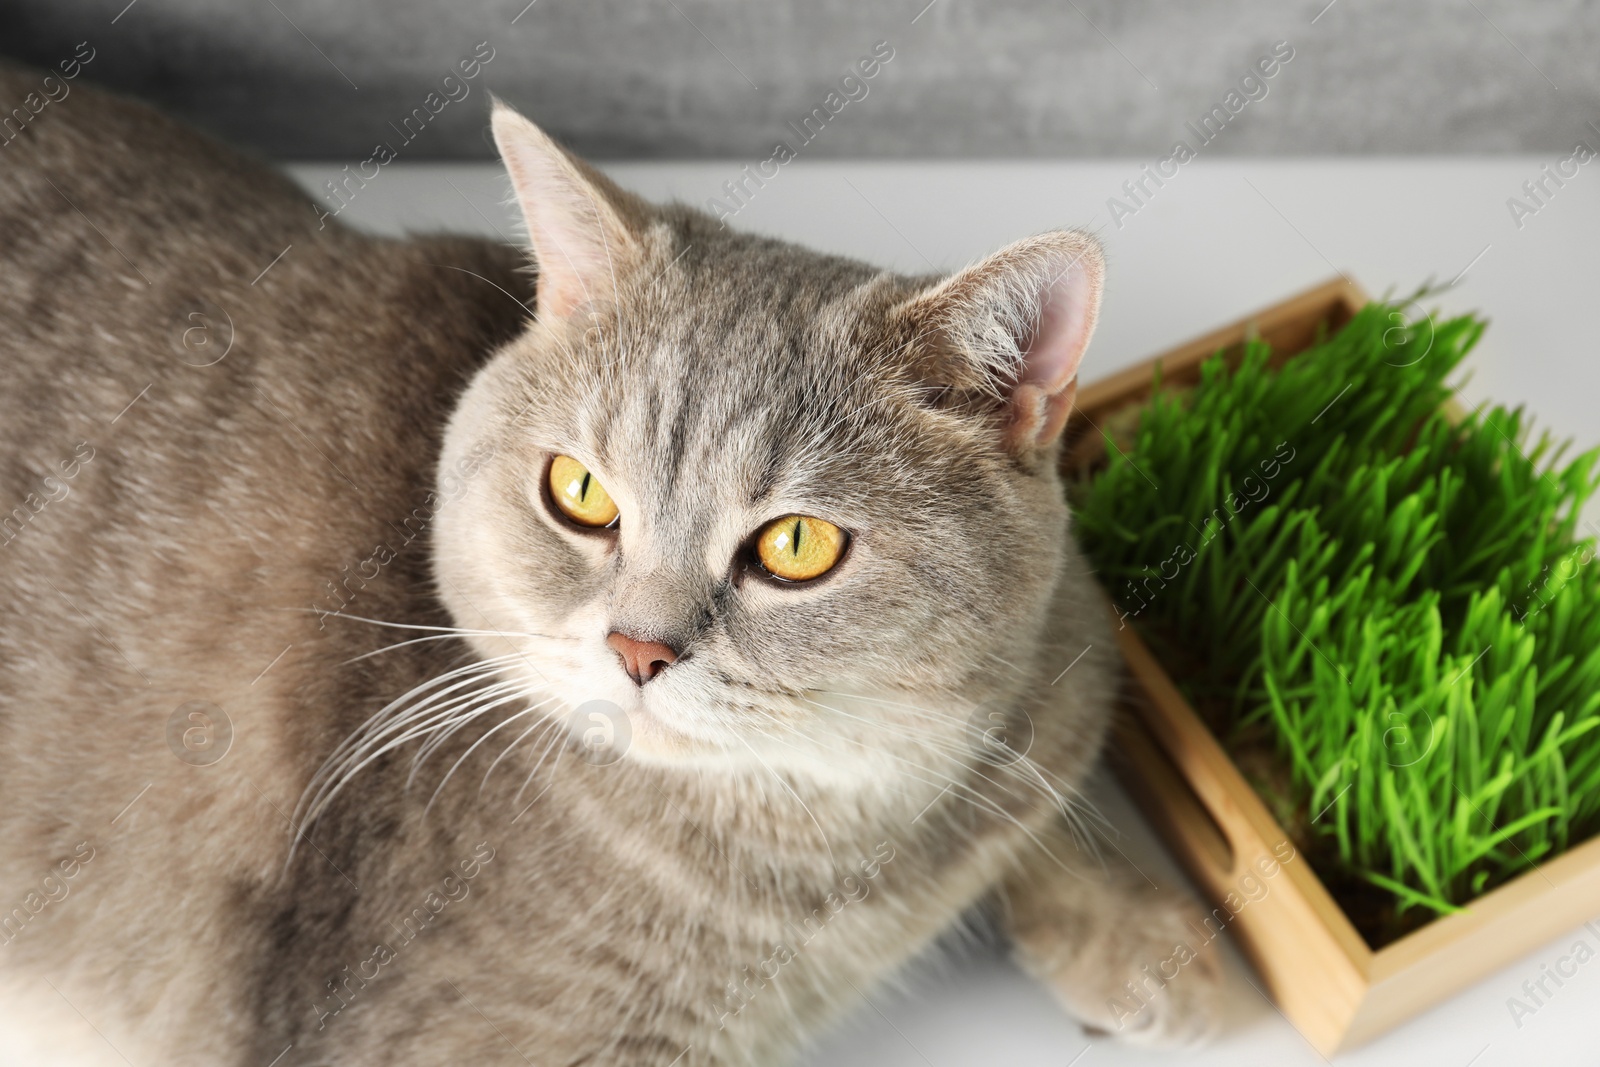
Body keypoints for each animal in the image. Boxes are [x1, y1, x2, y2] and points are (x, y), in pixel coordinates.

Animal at [0, 62, 1216, 1062]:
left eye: (797, 544)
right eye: (580, 492)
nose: (636, 648)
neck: (839, 844)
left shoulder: (1067, 674)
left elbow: (1041, 794)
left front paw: (1139, 925)